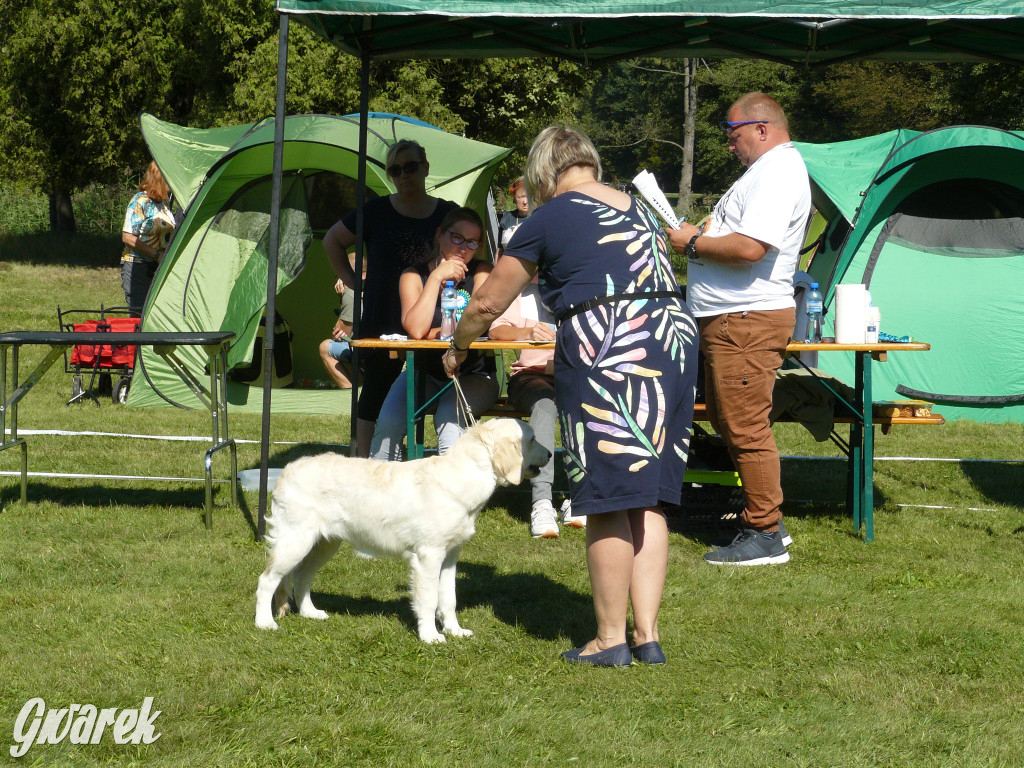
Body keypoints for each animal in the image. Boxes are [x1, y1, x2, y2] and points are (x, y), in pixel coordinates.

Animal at [251, 421, 548, 643]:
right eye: (532, 439)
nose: (551, 454)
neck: (462, 478)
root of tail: (287, 470)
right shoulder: (428, 556)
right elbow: (428, 600)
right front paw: (430, 637)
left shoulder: (450, 556)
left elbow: (448, 599)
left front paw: (455, 631)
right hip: (295, 541)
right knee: (267, 580)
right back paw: (264, 622)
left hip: (324, 544)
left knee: (301, 578)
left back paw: (311, 613)